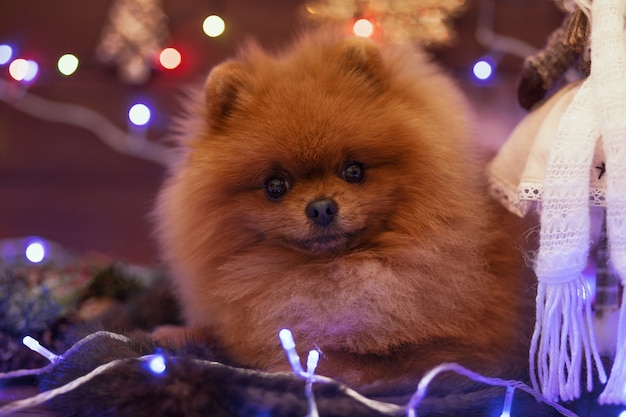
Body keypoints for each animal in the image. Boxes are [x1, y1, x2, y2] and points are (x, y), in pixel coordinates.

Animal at [154, 31, 532, 386]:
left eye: (354, 171)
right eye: (275, 186)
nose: (321, 207)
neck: (332, 274)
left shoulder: (460, 351)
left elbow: (353, 361)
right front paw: (173, 334)